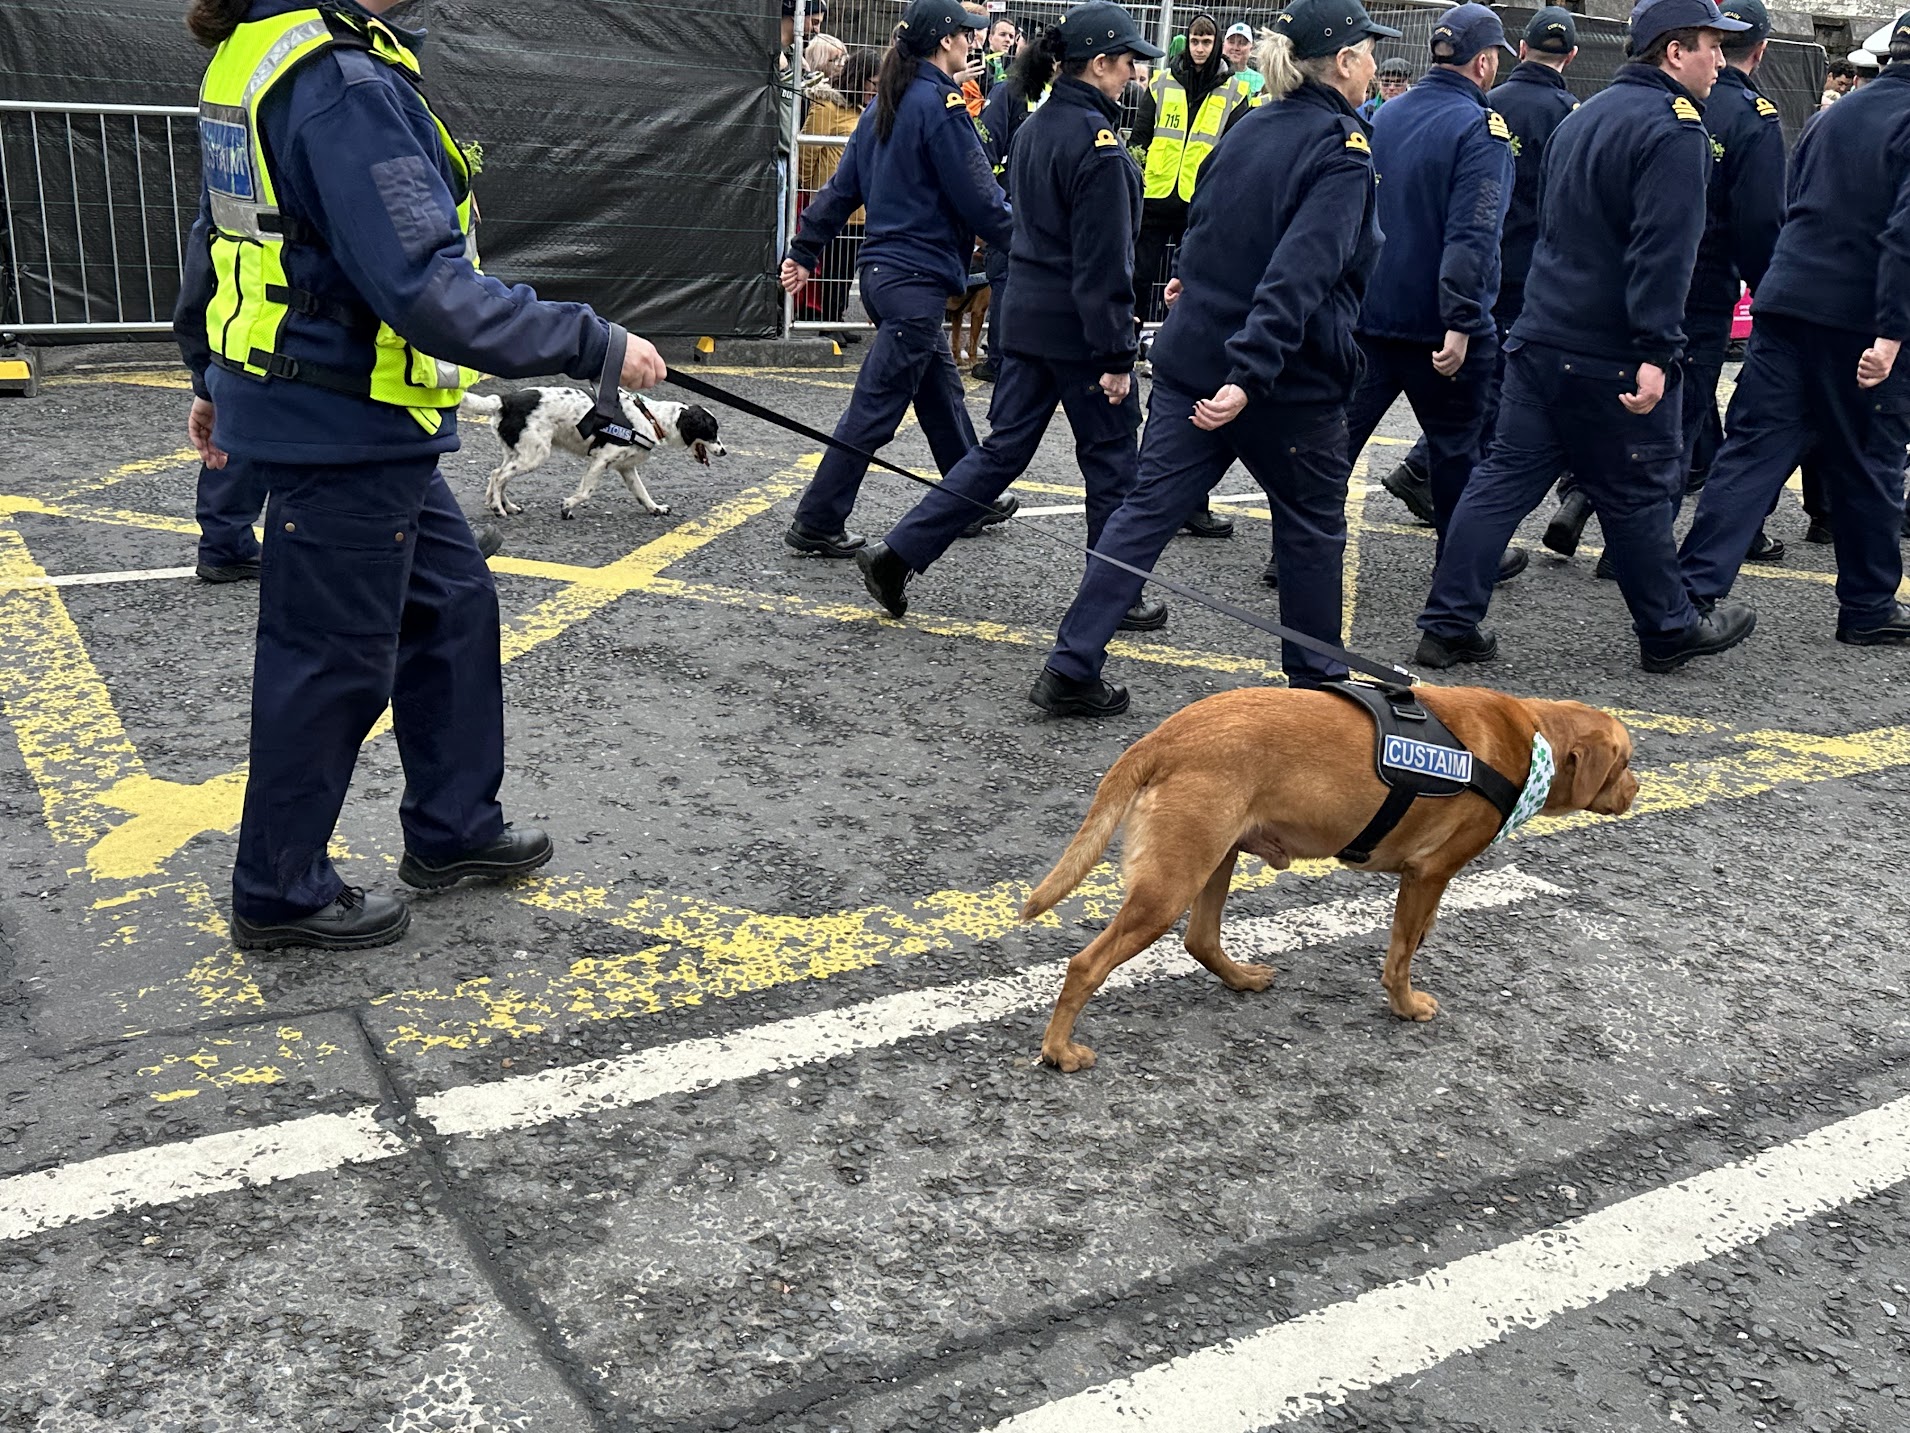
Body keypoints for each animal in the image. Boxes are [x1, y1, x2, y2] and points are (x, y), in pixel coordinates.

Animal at [458, 388, 724, 520]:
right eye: (711, 431)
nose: (724, 451)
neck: (651, 418)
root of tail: (505, 400)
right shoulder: (601, 460)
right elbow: (586, 492)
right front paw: (567, 506)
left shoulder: (627, 468)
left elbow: (642, 493)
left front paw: (655, 508)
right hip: (535, 455)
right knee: (498, 476)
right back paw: (497, 508)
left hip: (517, 453)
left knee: (499, 476)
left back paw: (505, 505)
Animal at [1020, 684, 1638, 1072]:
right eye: (1627, 762)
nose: (1637, 790)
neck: (1533, 739)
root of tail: (1163, 736)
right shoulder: (1428, 873)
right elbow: (1402, 952)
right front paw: (1405, 1006)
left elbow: (1414, 940)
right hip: (1170, 885)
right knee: (1086, 965)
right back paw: (1058, 1051)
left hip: (1216, 858)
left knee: (1200, 939)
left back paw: (1241, 979)